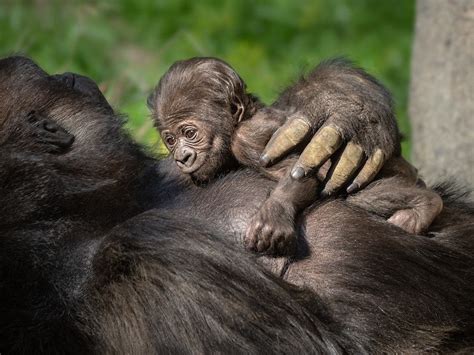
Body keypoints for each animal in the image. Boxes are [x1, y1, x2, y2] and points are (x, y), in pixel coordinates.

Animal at [149, 57, 444, 256]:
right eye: (170, 140)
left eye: (190, 133)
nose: (182, 157)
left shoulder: (247, 140)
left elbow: (305, 172)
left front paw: (275, 213)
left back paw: (425, 203)